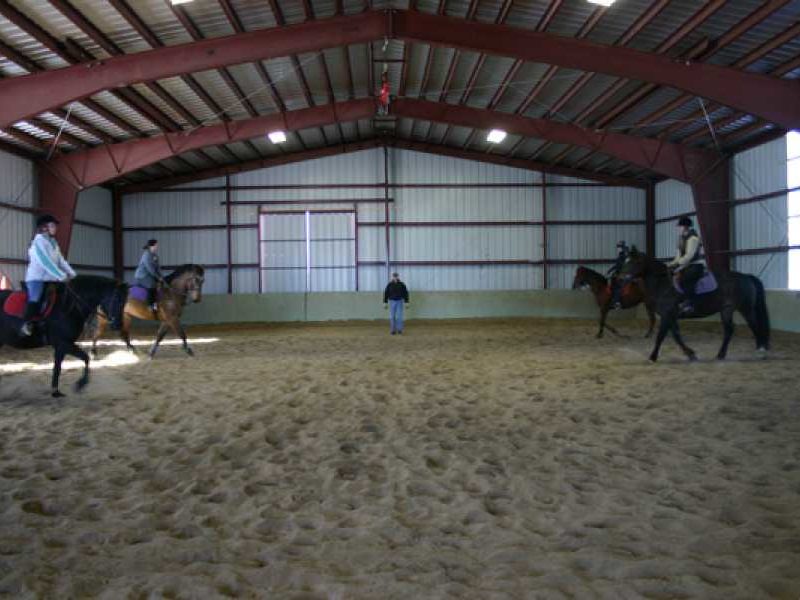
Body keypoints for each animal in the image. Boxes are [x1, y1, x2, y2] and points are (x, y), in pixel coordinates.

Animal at [620, 247, 768, 364]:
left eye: (635, 262)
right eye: (626, 261)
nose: (622, 277)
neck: (663, 284)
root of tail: (746, 277)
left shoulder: (667, 315)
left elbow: (661, 336)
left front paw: (652, 357)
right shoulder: (671, 316)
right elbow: (676, 335)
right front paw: (691, 354)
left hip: (746, 309)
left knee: (754, 326)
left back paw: (761, 351)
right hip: (726, 310)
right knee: (729, 330)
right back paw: (720, 355)